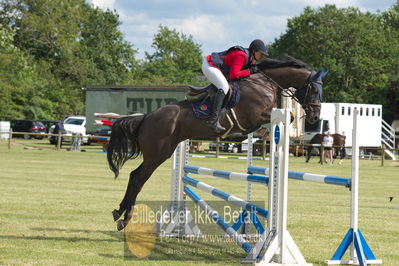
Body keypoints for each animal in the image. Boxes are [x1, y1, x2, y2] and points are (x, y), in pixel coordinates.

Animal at [107, 56, 328, 231]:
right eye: (315, 91)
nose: (315, 116)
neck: (264, 83)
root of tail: (147, 116)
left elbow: (286, 118)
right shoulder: (255, 115)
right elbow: (287, 116)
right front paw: (262, 132)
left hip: (162, 152)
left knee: (135, 176)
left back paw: (119, 212)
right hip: (158, 154)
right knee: (138, 178)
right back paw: (124, 218)